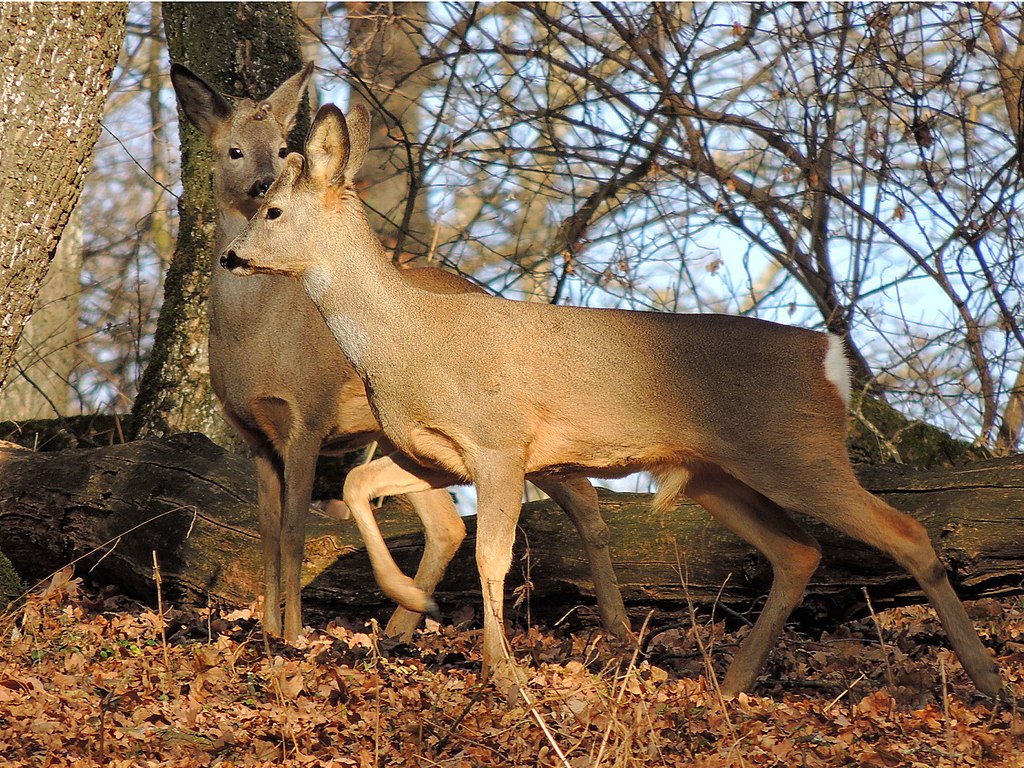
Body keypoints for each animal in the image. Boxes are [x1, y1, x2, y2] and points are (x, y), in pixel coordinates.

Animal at [169, 64, 630, 643]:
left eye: (280, 149)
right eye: (233, 150)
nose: (260, 184)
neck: (255, 340)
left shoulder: (308, 417)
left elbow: (295, 531)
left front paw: (293, 636)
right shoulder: (255, 435)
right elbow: (267, 532)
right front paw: (269, 630)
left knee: (585, 504)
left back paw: (615, 628)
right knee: (449, 526)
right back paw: (400, 626)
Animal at [222, 102, 999, 696]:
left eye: (274, 210)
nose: (231, 256)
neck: (406, 340)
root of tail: (829, 359)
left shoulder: (501, 443)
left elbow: (492, 558)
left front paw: (504, 676)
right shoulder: (434, 453)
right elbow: (359, 487)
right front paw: (415, 601)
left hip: (798, 450)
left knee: (907, 533)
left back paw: (987, 678)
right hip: (718, 474)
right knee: (798, 552)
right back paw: (730, 685)